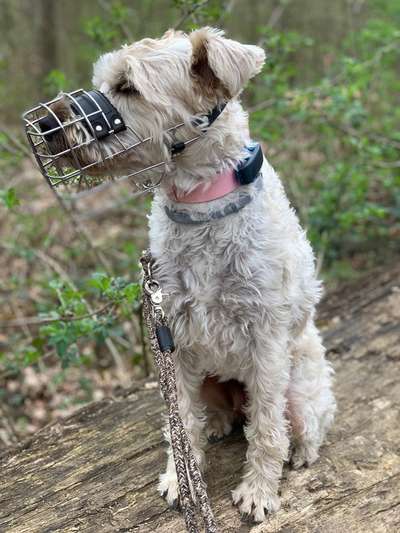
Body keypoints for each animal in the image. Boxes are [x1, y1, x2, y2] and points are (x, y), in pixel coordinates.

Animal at [51, 27, 336, 520]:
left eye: (127, 86)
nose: (52, 129)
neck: (201, 205)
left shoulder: (266, 342)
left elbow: (266, 427)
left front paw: (258, 491)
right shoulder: (174, 339)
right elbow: (180, 420)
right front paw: (178, 479)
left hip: (300, 388)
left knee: (298, 424)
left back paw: (299, 451)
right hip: (208, 377)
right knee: (211, 416)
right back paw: (218, 424)